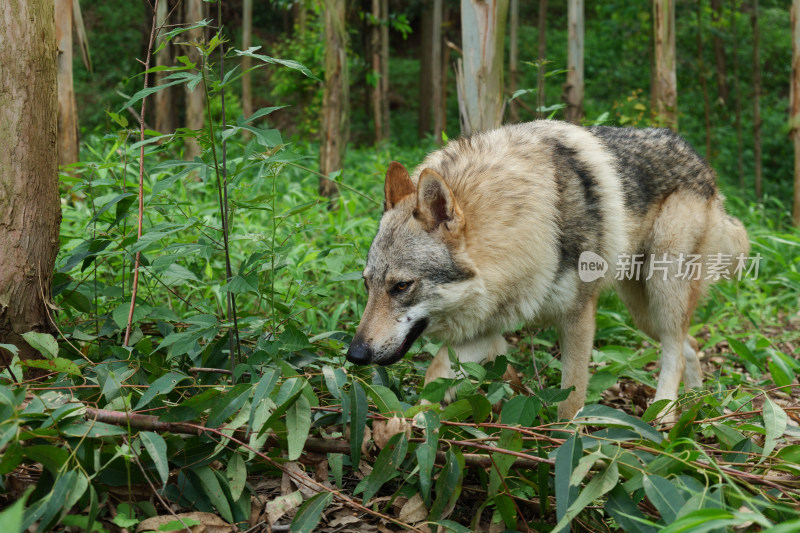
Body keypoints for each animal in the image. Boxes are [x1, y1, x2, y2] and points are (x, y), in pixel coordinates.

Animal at [346, 120, 752, 420]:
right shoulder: (482, 328)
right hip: (642, 310)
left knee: (674, 350)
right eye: (367, 285)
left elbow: (571, 398)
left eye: (401, 286)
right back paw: (694, 407)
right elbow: (435, 374)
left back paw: (664, 415)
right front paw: (404, 430)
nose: (355, 355)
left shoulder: (578, 316)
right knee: (690, 345)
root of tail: (704, 165)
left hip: (662, 290)